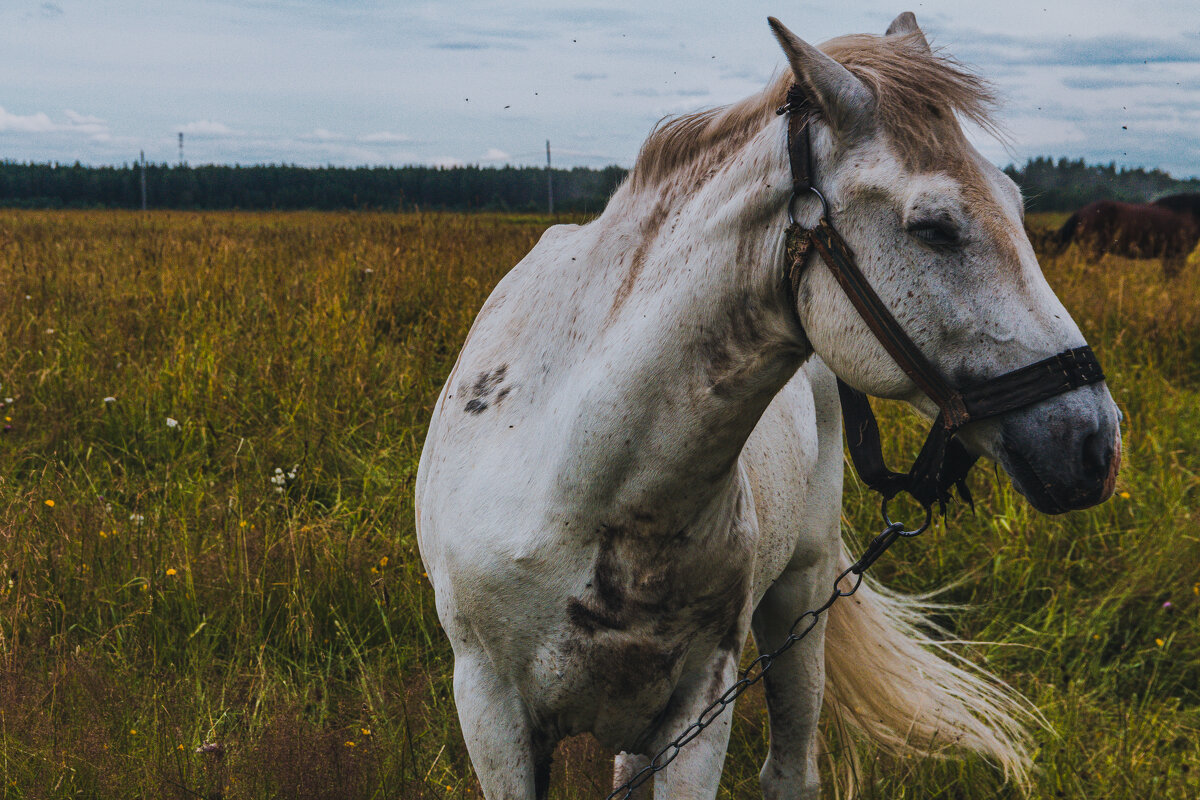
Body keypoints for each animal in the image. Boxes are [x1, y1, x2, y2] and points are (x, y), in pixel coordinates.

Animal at [417, 14, 1118, 800]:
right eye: (934, 227)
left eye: (1020, 208)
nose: (1096, 443)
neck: (575, 478)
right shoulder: (489, 709)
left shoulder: (701, 705)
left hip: (800, 597)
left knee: (791, 768)